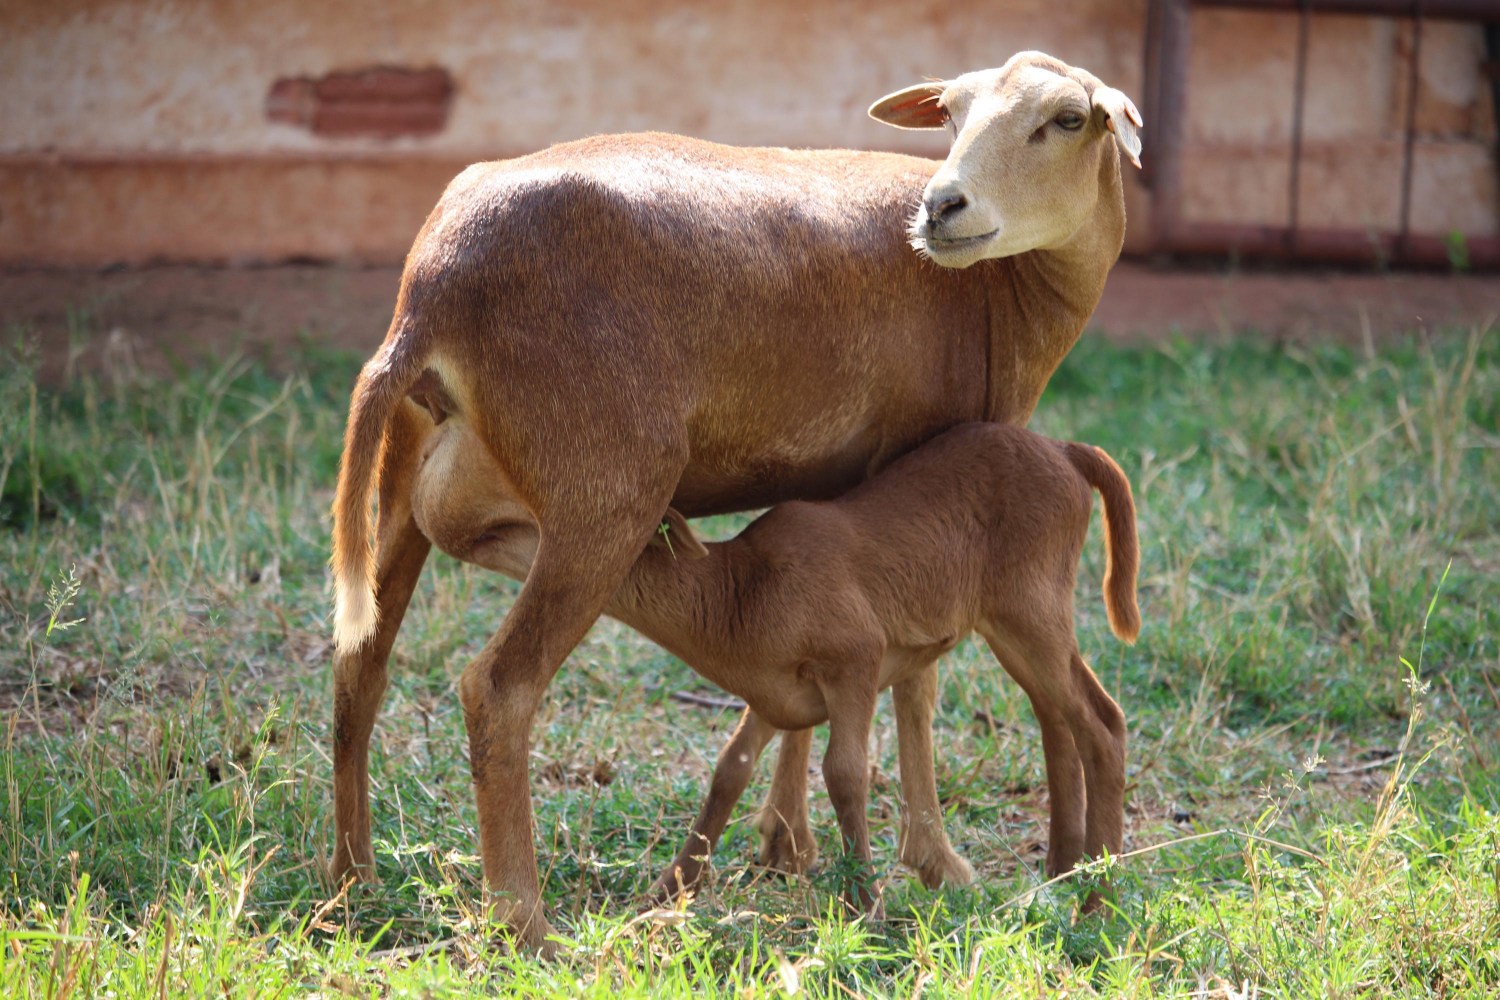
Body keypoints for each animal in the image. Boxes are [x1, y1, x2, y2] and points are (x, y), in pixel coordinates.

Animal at [334, 48, 1140, 953]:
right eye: (952, 115)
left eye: (1067, 119)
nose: (942, 208)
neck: (1014, 292)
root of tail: (431, 290)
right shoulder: (922, 453)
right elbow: (917, 686)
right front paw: (932, 862)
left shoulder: (835, 487)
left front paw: (787, 844)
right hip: (602, 493)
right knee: (499, 690)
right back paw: (526, 922)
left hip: (410, 469)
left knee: (360, 659)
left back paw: (351, 881)